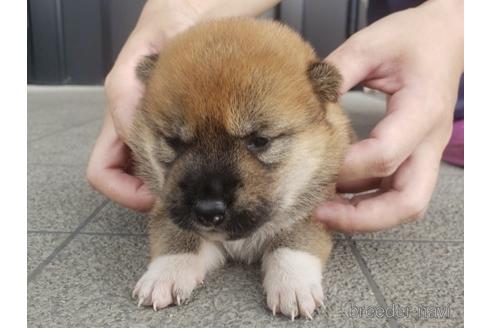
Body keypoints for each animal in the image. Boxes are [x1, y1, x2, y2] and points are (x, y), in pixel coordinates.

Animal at [129, 16, 352, 320]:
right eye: (174, 142)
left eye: (259, 141)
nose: (208, 210)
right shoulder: (167, 206)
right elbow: (177, 235)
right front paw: (166, 273)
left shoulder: (315, 206)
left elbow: (292, 239)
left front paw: (292, 284)